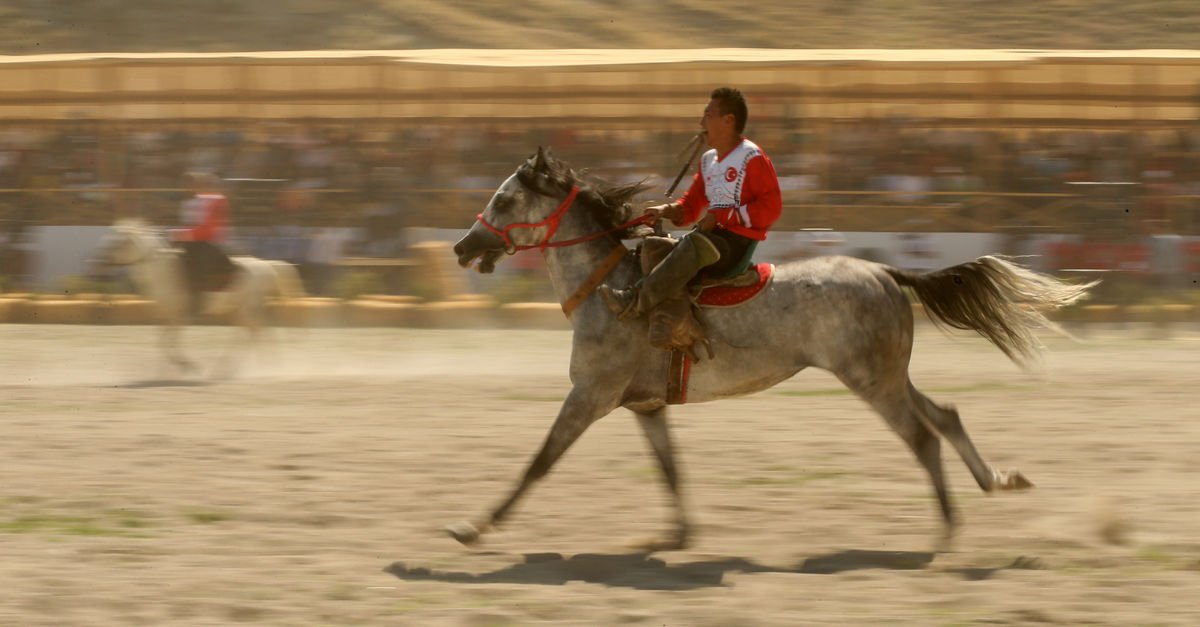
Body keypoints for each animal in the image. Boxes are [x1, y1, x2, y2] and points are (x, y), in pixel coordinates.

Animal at [96, 219, 307, 372]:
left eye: (120, 243)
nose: (101, 263)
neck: (164, 274)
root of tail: (266, 265)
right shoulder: (167, 316)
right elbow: (163, 343)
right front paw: (173, 368)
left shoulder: (179, 316)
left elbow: (169, 343)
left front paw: (187, 365)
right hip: (240, 310)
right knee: (254, 332)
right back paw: (238, 368)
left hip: (249, 308)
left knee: (258, 331)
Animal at [451, 146, 1099, 547]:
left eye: (504, 200)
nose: (462, 247)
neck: (609, 288)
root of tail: (886, 272)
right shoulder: (646, 406)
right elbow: (670, 471)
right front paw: (679, 535)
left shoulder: (589, 396)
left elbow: (539, 461)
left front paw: (477, 526)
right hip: (890, 376)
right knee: (946, 416)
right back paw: (997, 481)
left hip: (872, 382)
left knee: (922, 438)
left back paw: (946, 529)